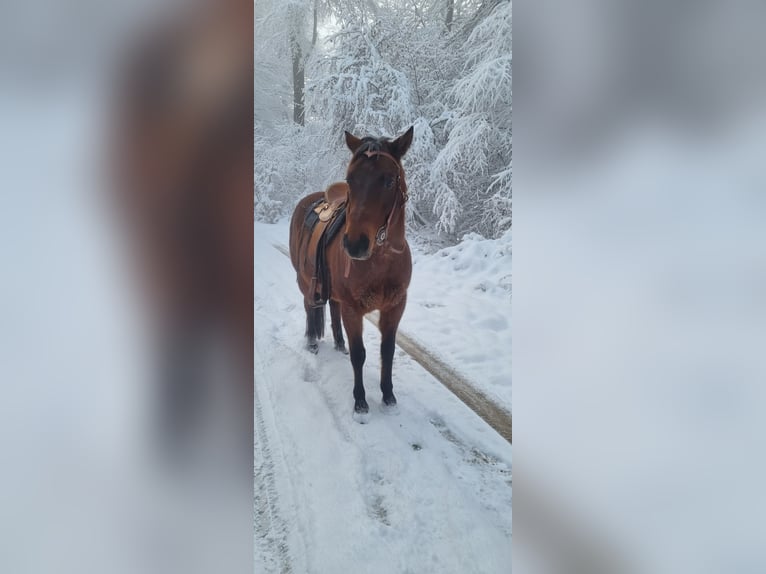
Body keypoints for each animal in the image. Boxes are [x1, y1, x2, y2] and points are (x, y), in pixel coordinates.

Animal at [289, 127, 414, 417]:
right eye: (350, 180)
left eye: (388, 181)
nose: (355, 244)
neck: (380, 262)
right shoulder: (353, 310)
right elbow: (360, 354)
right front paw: (360, 401)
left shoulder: (395, 307)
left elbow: (387, 351)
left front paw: (388, 396)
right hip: (304, 280)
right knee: (309, 306)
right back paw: (312, 342)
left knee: (332, 308)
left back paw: (338, 342)